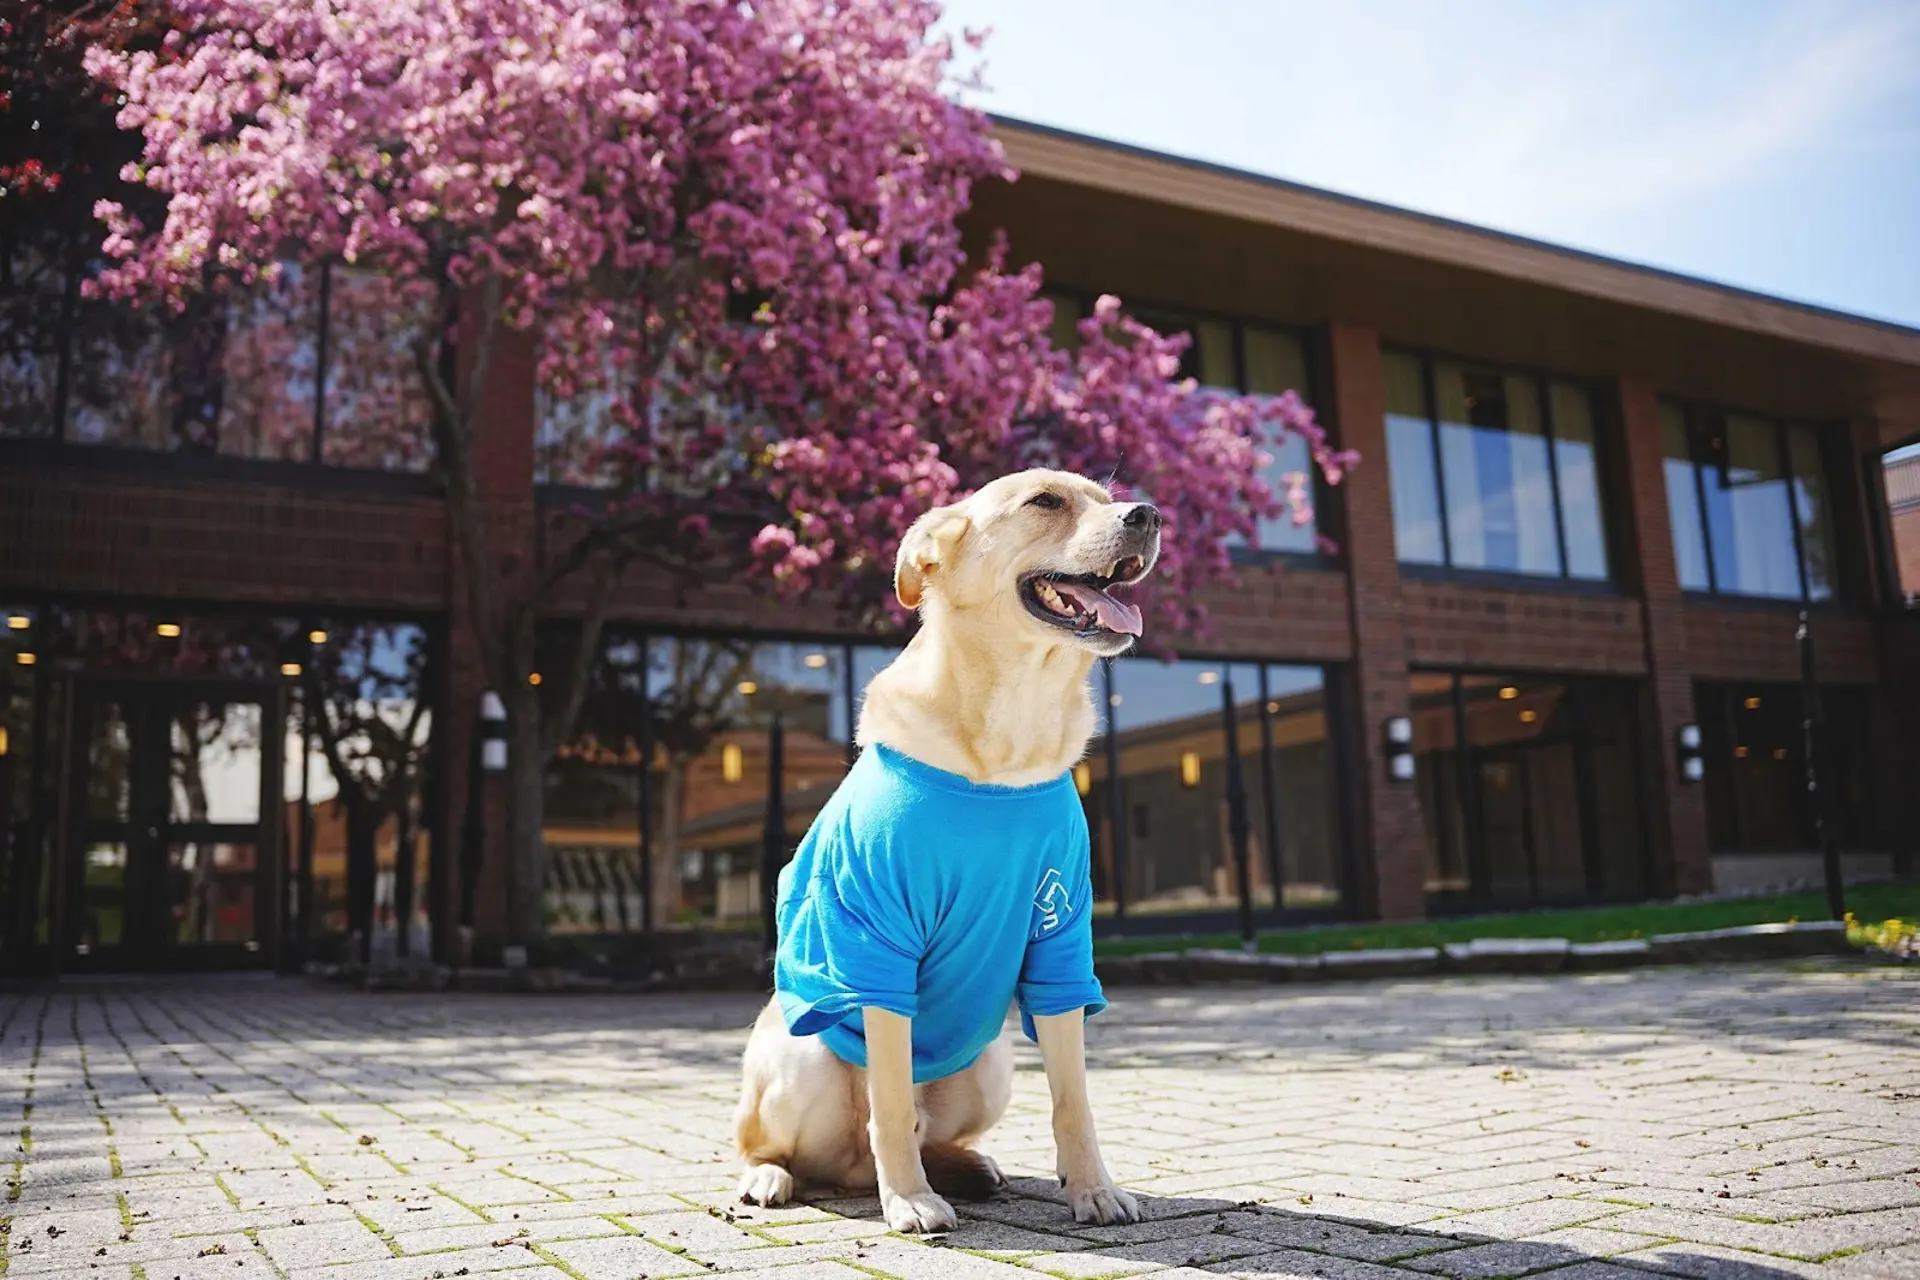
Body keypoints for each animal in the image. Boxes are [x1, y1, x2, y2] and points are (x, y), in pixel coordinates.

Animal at [729, 468, 1152, 1228]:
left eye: (1109, 496)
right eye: (1046, 501)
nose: (1151, 515)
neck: (1006, 739)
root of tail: (848, 1174)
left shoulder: (1060, 936)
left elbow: (1073, 1099)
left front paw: (1092, 1187)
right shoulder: (876, 933)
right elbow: (892, 1105)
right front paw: (910, 1201)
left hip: (991, 1062)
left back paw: (970, 1167)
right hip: (799, 1057)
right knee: (780, 1144)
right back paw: (776, 1178)